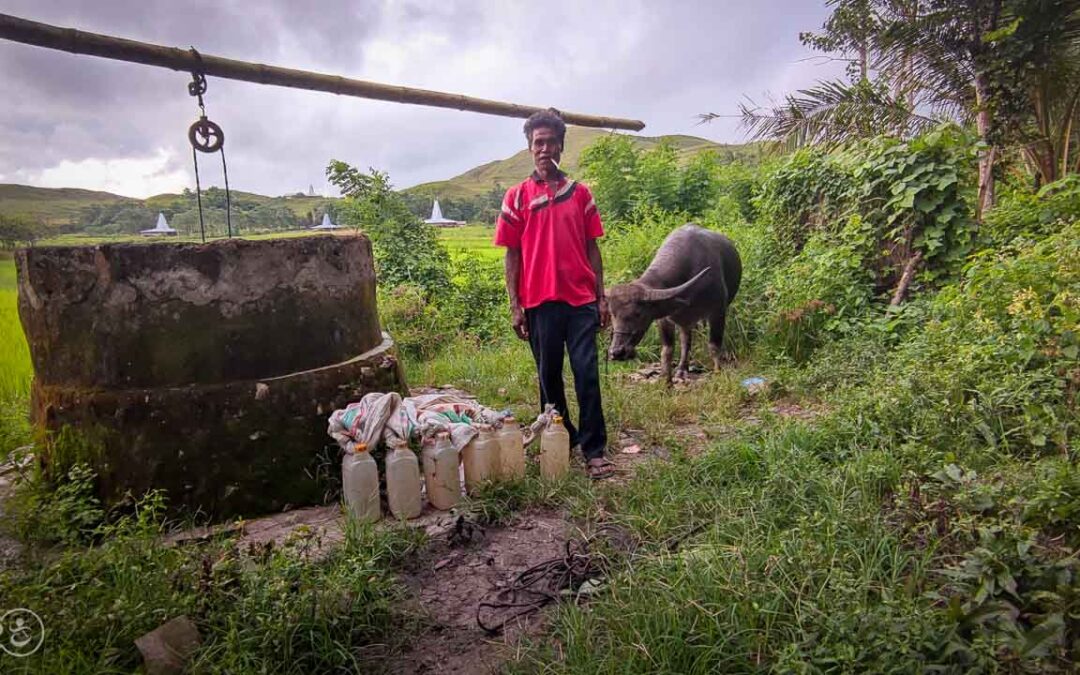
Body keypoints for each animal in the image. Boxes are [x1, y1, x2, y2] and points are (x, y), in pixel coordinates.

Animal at [609, 223, 743, 384]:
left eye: (638, 313)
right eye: (612, 314)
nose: (617, 352)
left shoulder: (717, 312)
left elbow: (714, 345)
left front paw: (718, 373)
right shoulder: (664, 319)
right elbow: (667, 350)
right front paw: (666, 380)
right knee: (686, 341)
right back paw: (681, 370)